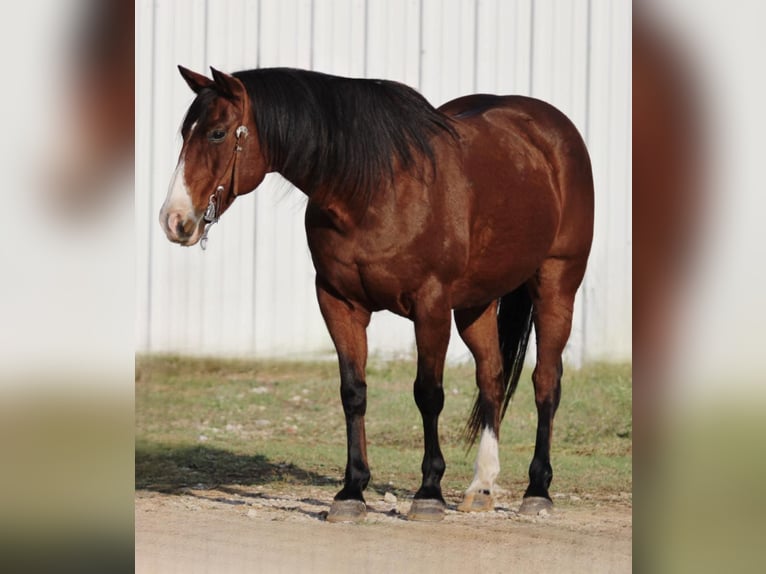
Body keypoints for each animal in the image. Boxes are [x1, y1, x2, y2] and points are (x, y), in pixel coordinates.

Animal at [159, 65, 596, 524]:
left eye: (218, 133)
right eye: (186, 132)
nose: (173, 220)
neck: (373, 191)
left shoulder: (431, 306)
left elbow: (429, 394)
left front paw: (428, 492)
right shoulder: (338, 303)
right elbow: (353, 392)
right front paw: (351, 491)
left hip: (556, 284)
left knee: (545, 381)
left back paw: (537, 489)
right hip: (476, 302)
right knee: (491, 377)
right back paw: (481, 486)